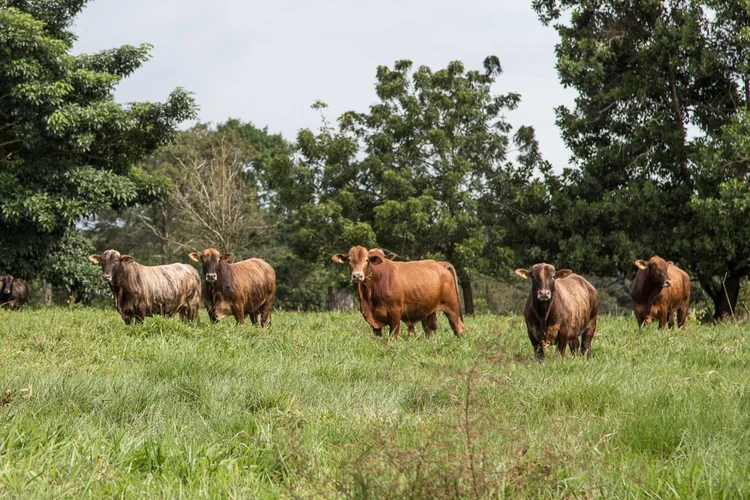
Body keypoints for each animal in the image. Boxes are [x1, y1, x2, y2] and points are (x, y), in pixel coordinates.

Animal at [334, 246, 464, 340]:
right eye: (349, 260)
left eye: (367, 260)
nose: (357, 275)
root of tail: (440, 264)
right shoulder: (373, 320)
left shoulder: (395, 312)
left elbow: (393, 336)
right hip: (427, 312)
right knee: (430, 332)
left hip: (452, 307)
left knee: (458, 328)